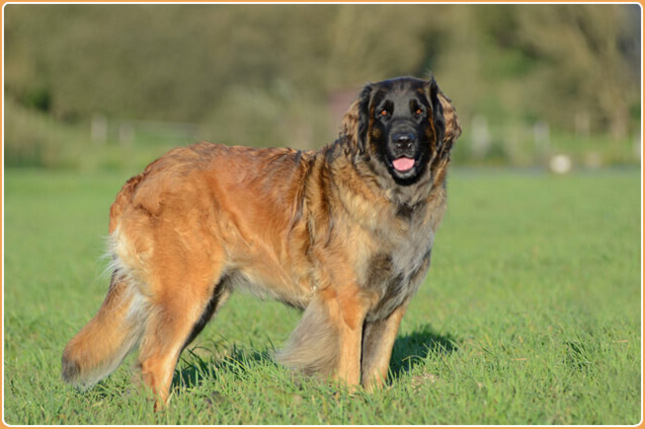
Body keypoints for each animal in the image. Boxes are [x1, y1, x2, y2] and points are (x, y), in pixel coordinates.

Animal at [61, 75, 458, 406]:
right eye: (383, 113)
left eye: (419, 112)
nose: (403, 141)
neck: (392, 196)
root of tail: (143, 177)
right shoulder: (347, 303)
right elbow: (350, 369)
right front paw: (349, 403)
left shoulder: (392, 306)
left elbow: (375, 368)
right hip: (185, 296)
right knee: (155, 361)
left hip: (200, 301)